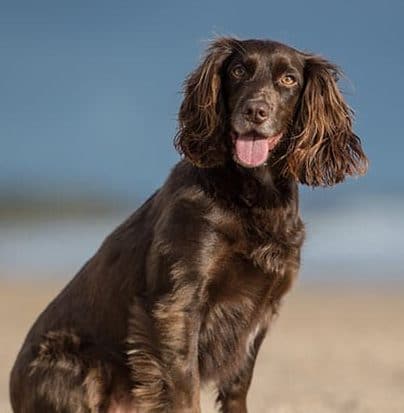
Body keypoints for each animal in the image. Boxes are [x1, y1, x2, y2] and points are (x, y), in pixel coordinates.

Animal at [10, 37, 370, 410]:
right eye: (238, 71)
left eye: (288, 80)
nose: (255, 111)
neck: (251, 194)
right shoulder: (177, 306)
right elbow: (184, 389)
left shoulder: (260, 311)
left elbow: (238, 386)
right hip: (77, 368)